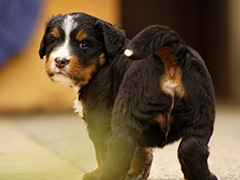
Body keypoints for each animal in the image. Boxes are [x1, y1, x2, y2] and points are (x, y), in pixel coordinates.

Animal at [38, 12, 218, 180]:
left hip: (125, 119)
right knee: (191, 150)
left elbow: (102, 153)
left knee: (120, 151)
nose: (60, 61)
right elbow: (140, 150)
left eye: (84, 44)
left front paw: (99, 173)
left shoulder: (98, 121)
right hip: (199, 122)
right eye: (53, 41)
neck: (103, 64)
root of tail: (169, 56)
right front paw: (138, 172)